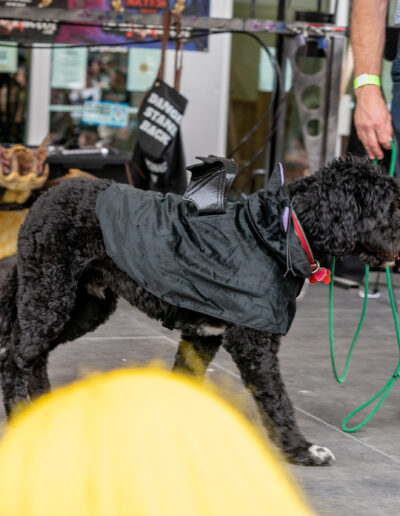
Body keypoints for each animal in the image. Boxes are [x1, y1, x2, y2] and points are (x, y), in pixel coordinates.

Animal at [0, 155, 400, 466]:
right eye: (390, 204)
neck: (282, 230)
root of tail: (44, 199)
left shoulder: (202, 337)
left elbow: (186, 381)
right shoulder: (252, 341)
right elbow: (277, 398)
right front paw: (301, 449)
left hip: (83, 306)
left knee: (35, 354)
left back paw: (43, 407)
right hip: (49, 295)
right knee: (15, 356)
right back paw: (18, 414)